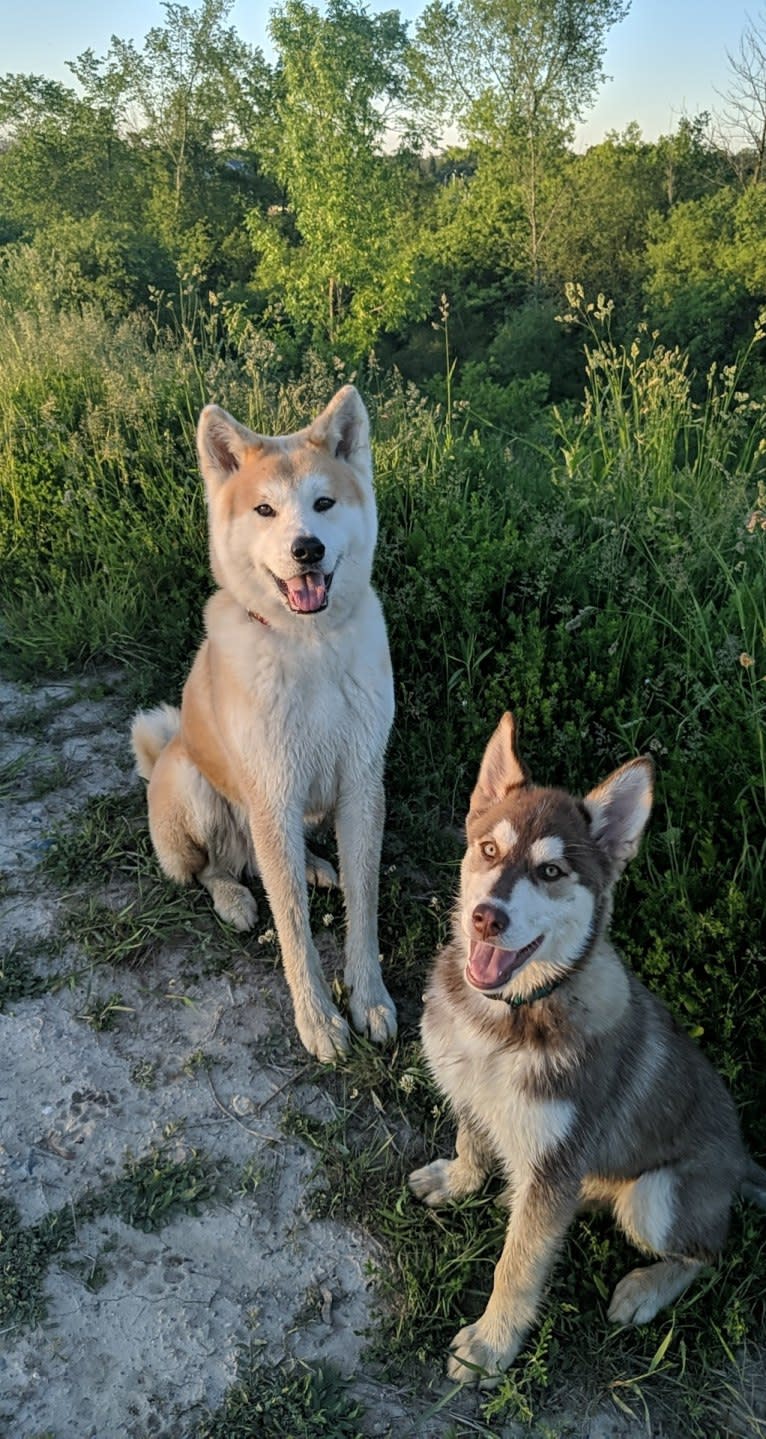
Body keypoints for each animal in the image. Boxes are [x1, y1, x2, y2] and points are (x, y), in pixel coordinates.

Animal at [129, 388, 397, 1064]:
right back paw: (233, 899)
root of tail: (161, 754)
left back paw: (314, 866)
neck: (312, 647)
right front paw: (319, 1021)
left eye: (324, 503)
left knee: (274, 862)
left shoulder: (361, 786)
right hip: (199, 792)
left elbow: (364, 906)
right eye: (265, 509)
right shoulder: (272, 794)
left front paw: (369, 998)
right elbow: (294, 928)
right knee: (212, 870)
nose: (307, 549)